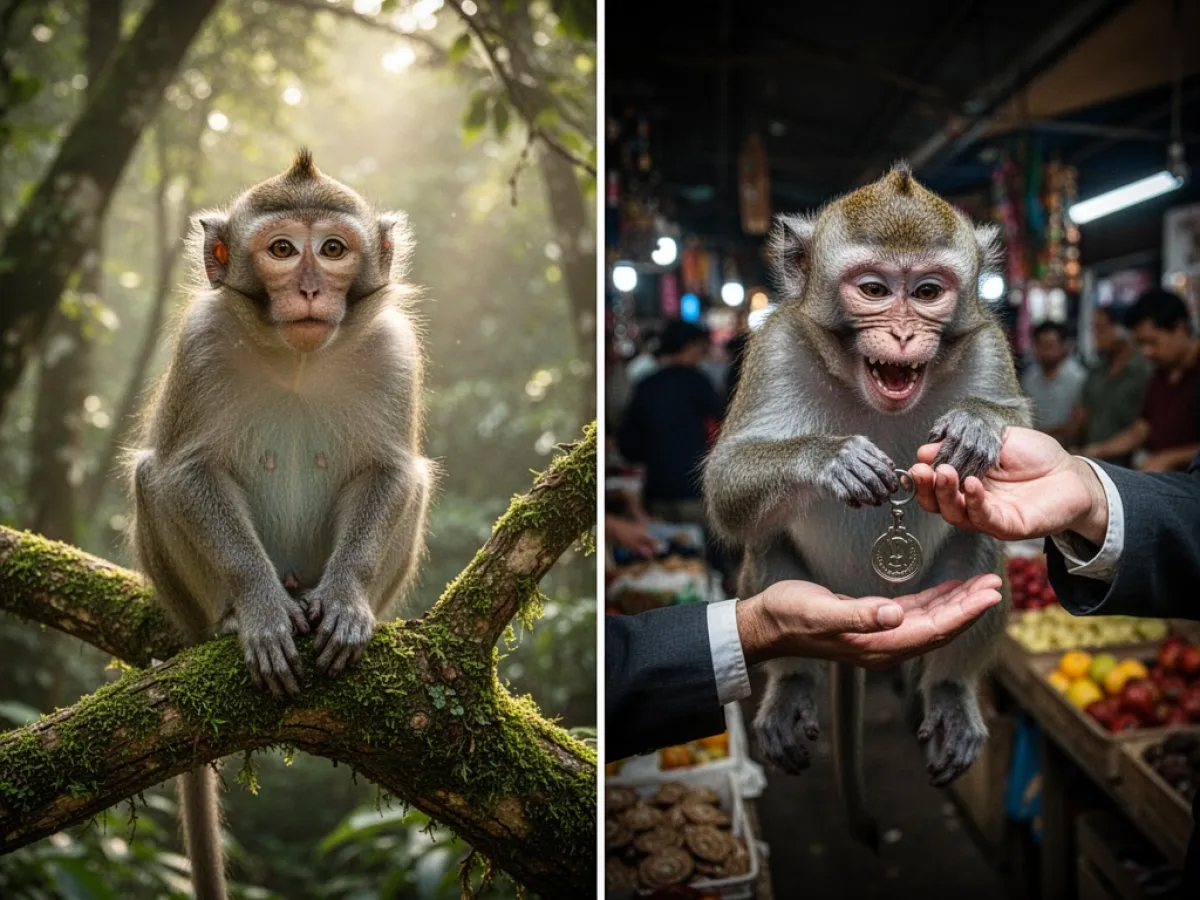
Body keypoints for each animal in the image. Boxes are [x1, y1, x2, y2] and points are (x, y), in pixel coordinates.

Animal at [127, 150, 433, 900]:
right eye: (282, 250)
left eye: (334, 249)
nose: (311, 289)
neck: (299, 358)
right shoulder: (199, 343)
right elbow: (186, 471)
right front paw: (261, 610)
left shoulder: (394, 351)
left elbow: (390, 471)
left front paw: (347, 602)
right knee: (151, 475)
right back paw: (233, 617)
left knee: (415, 482)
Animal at [702, 162, 1030, 852]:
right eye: (875, 289)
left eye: (928, 291)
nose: (904, 331)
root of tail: (858, 597)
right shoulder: (775, 345)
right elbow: (725, 486)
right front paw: (833, 460)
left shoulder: (987, 341)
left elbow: (1026, 430)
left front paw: (978, 427)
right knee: (767, 537)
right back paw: (793, 684)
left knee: (979, 545)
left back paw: (951, 693)